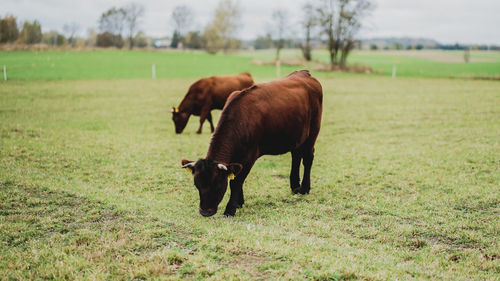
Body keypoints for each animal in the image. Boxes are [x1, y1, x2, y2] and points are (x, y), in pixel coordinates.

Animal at [182, 70, 322, 217]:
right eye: (197, 185)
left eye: (217, 185)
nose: (205, 212)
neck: (241, 120)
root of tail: (303, 73)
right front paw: (239, 202)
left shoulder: (249, 157)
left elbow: (236, 182)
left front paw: (230, 209)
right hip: (297, 137)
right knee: (296, 156)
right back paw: (295, 187)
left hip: (313, 132)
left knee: (307, 158)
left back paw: (305, 188)